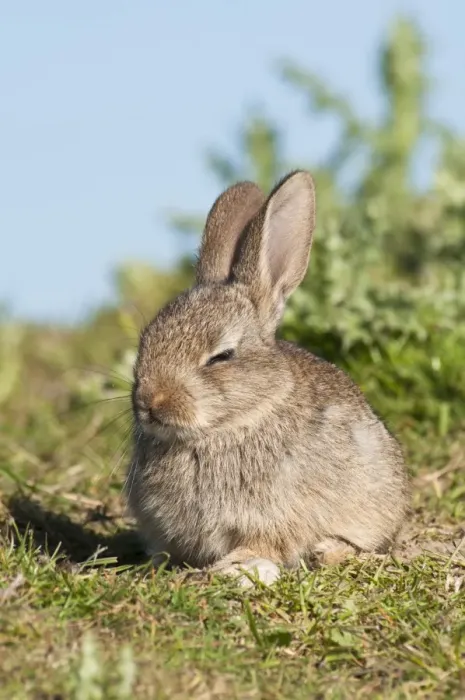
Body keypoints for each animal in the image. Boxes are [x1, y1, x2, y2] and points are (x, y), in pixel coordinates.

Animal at [125, 170, 410, 586]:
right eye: (146, 341)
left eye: (221, 356)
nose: (150, 402)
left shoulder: (274, 518)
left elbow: (265, 544)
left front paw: (238, 568)